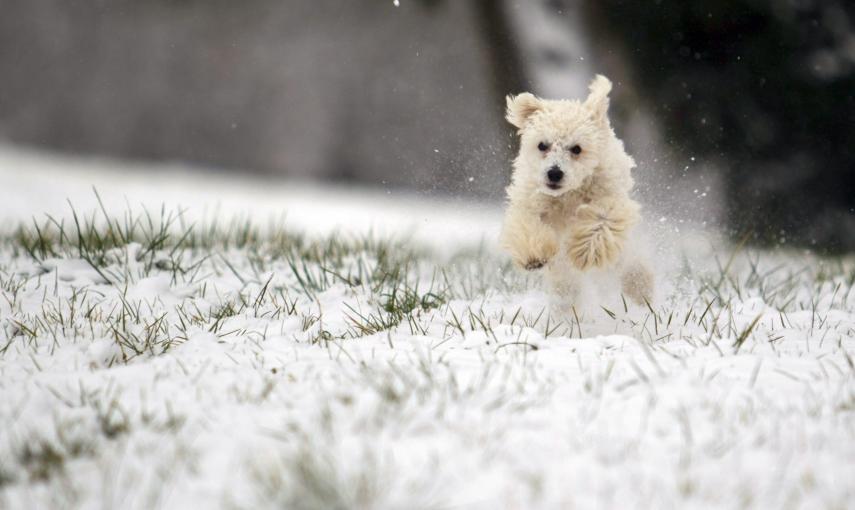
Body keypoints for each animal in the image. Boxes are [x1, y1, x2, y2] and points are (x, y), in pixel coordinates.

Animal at [498, 73, 652, 300]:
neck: (567, 195)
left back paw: (640, 289)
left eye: (577, 148)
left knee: (629, 263)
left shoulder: (609, 197)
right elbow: (527, 223)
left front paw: (585, 253)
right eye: (542, 145)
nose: (554, 173)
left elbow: (602, 220)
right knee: (566, 285)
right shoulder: (530, 200)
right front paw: (534, 255)